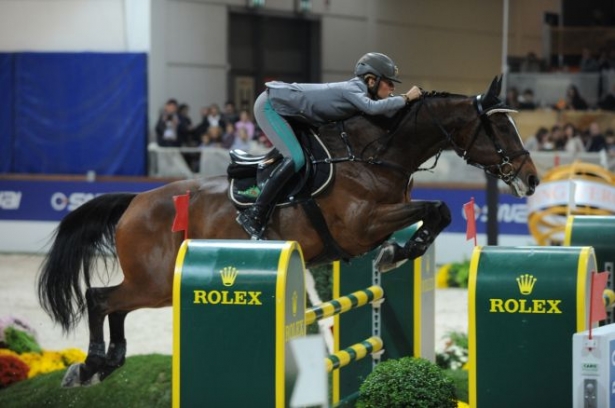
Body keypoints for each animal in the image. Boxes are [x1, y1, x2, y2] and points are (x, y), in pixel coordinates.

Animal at [38, 75, 540, 386]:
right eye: (499, 126)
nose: (532, 179)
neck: (373, 154)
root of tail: (135, 201)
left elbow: (437, 214)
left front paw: (398, 253)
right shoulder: (362, 225)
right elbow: (436, 209)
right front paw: (396, 253)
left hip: (155, 286)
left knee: (114, 305)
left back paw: (105, 365)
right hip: (157, 281)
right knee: (100, 298)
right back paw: (89, 366)